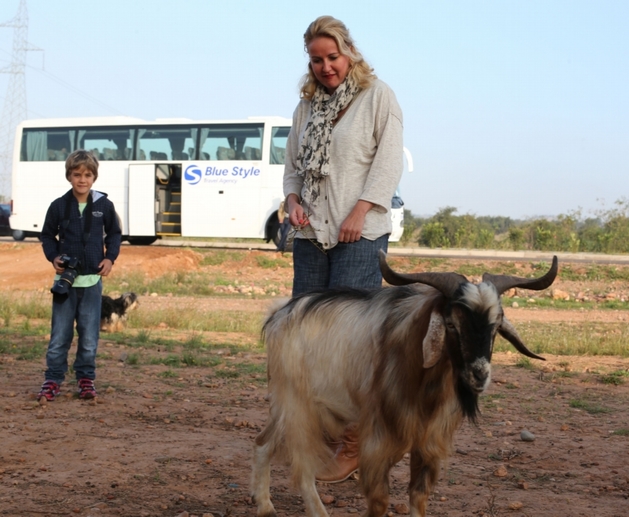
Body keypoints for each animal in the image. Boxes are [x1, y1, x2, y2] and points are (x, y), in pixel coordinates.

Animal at [250, 252, 556, 512]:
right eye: (451, 324)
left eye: (495, 326)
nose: (479, 375)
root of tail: (278, 315)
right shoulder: (380, 437)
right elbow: (379, 500)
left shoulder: (429, 439)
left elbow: (418, 495)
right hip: (298, 405)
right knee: (302, 469)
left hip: (306, 408)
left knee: (263, 441)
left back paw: (264, 505)